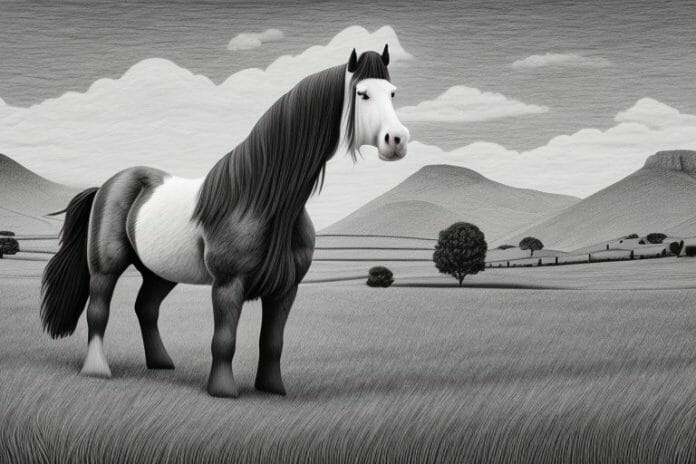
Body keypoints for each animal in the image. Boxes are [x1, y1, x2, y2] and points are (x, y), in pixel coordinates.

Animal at [40, 45, 410, 398]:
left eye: (392, 92)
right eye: (362, 93)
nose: (397, 140)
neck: (261, 202)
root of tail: (109, 183)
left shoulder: (285, 290)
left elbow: (272, 342)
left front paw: (272, 389)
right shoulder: (228, 285)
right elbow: (224, 340)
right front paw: (222, 390)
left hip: (160, 272)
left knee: (146, 308)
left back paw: (161, 362)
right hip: (106, 267)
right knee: (98, 311)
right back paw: (97, 369)